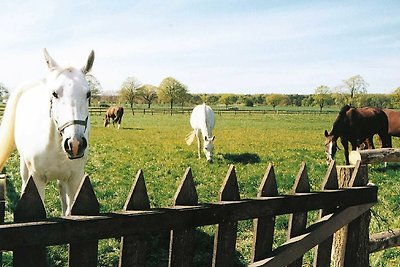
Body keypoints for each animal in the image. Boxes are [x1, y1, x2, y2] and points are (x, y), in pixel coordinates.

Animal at [0, 48, 94, 216]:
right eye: (54, 93)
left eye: (88, 94)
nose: (75, 144)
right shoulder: (36, 181)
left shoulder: (75, 180)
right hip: (25, 167)